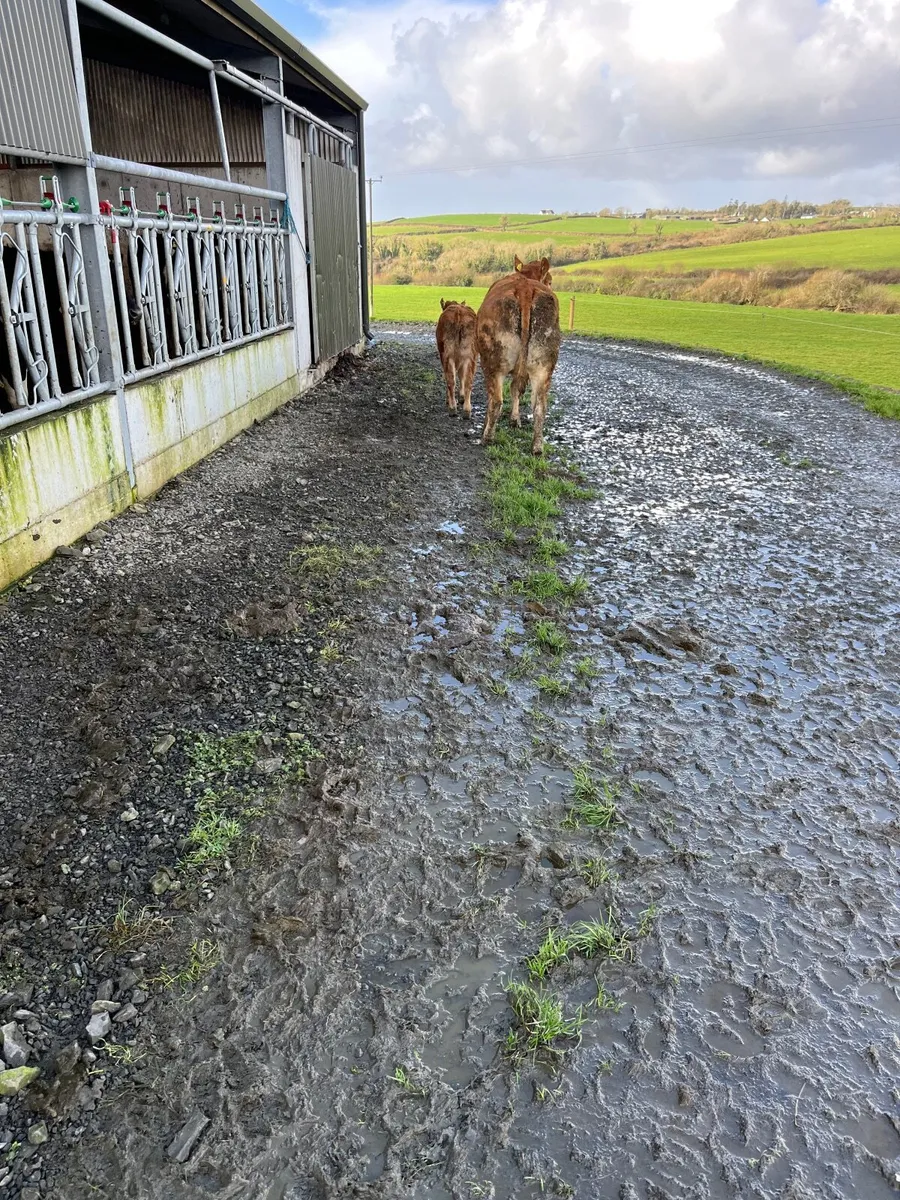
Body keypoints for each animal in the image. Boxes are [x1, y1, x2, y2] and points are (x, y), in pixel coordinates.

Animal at [476, 272, 560, 456]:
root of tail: (525, 287)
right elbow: (517, 390)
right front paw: (515, 420)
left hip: (493, 363)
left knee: (496, 401)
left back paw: (487, 437)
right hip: (543, 366)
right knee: (540, 406)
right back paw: (537, 447)